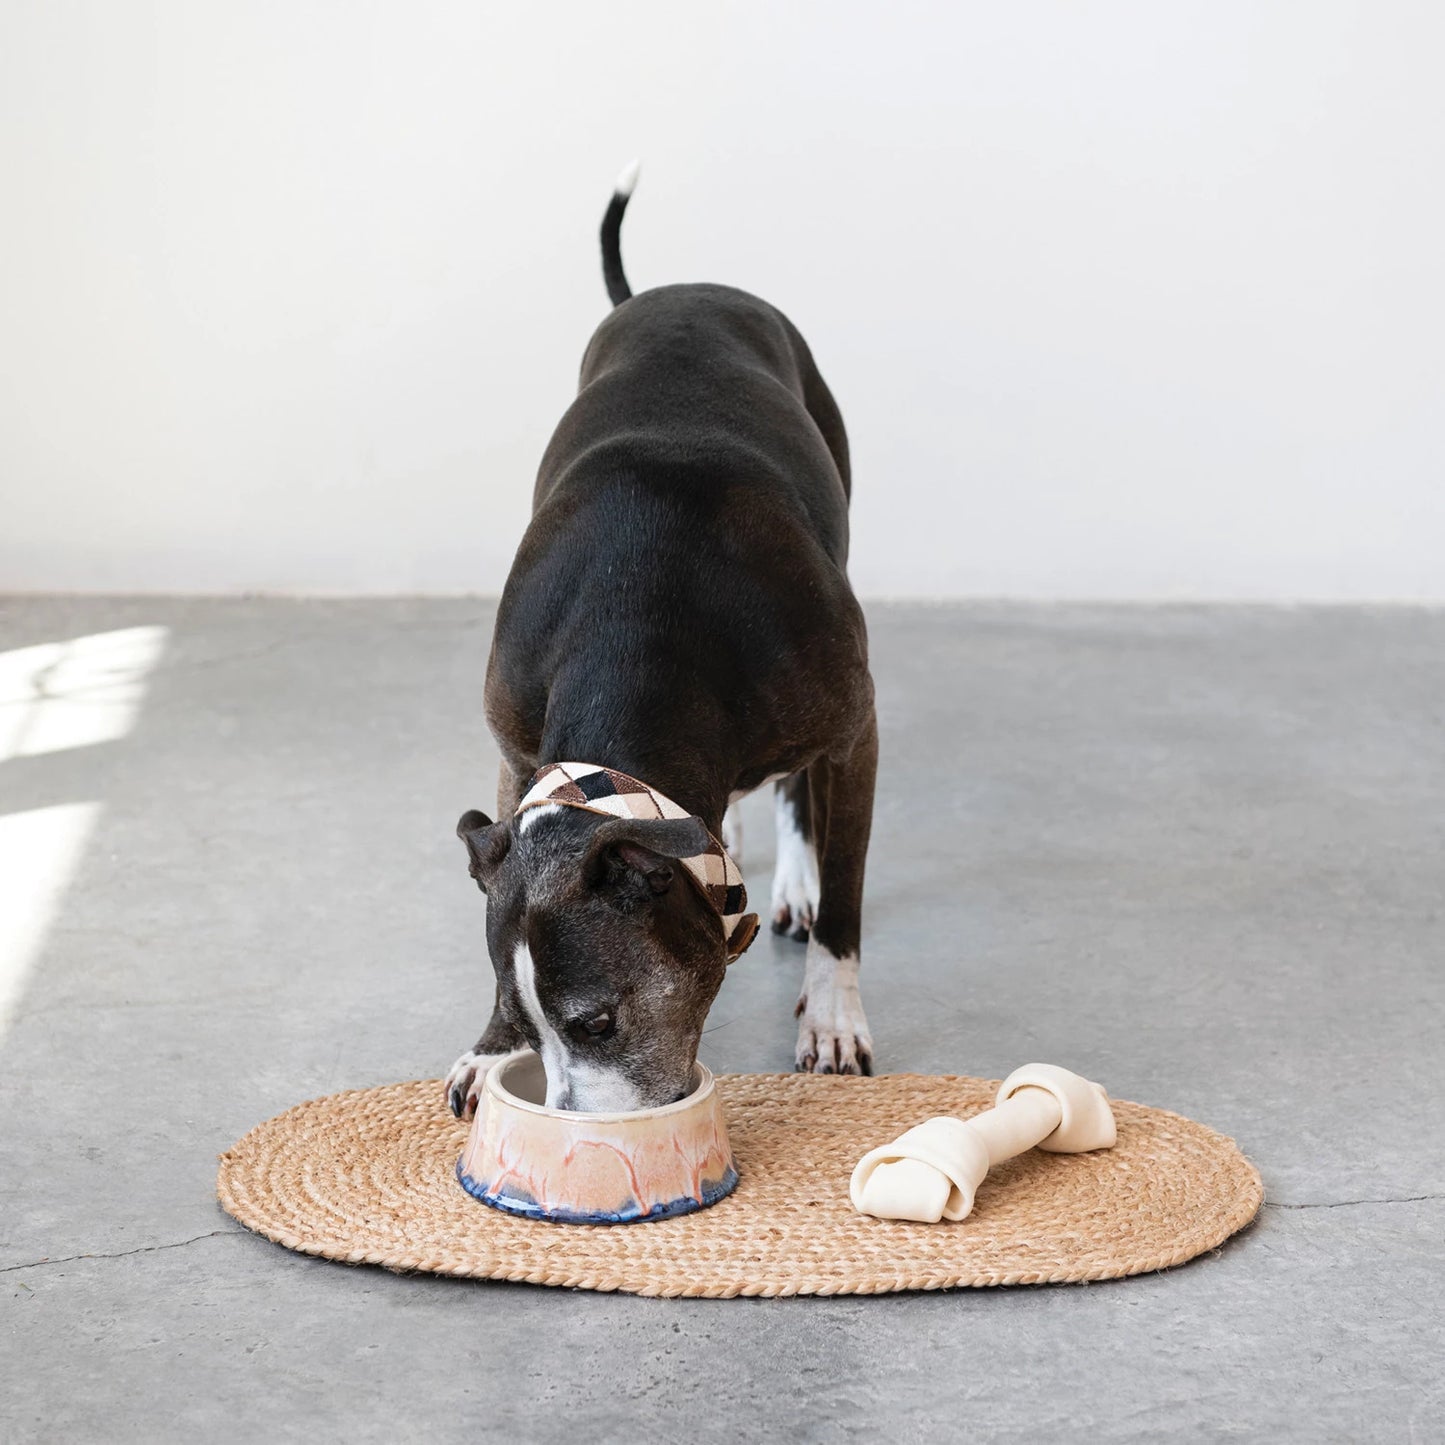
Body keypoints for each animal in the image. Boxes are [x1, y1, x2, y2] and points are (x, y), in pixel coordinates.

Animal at [447, 169, 878, 1115]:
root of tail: (676, 288)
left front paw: (831, 1014)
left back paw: (795, 881)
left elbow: (847, 888)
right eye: (528, 1022)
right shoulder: (512, 746)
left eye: (598, 1021)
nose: (571, 1128)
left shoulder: (854, 729)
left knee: (799, 795)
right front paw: (486, 1053)